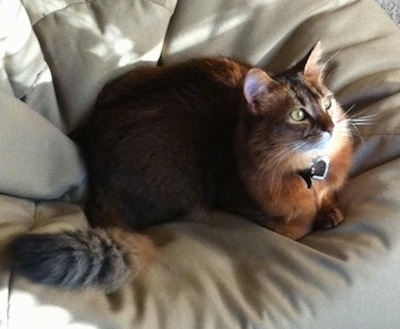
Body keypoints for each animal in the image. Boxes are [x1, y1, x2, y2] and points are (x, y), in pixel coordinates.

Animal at [8, 41, 354, 292]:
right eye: (298, 115)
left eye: (327, 103)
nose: (330, 126)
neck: (309, 172)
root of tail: (98, 185)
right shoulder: (242, 205)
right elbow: (296, 226)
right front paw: (315, 217)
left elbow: (329, 202)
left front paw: (331, 210)